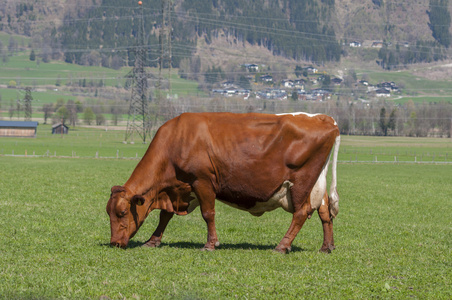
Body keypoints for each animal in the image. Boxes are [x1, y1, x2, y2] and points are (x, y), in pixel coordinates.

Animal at [106, 112, 340, 253]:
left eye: (122, 212)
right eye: (108, 213)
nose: (115, 243)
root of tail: (325, 118)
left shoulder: (202, 181)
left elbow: (208, 214)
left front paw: (210, 244)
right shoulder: (177, 189)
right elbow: (165, 216)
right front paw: (152, 241)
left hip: (301, 183)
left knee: (301, 214)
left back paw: (282, 246)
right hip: (317, 183)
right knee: (324, 212)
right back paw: (327, 247)